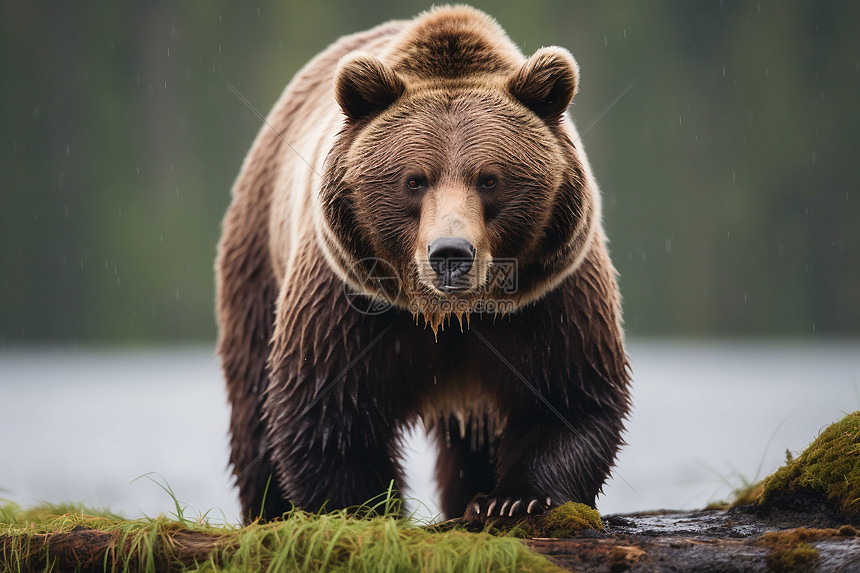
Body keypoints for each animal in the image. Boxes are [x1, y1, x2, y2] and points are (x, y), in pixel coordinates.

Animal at [215, 5, 632, 524]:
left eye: (490, 179)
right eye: (414, 180)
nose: (450, 253)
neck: (450, 316)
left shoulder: (549, 294)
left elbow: (569, 393)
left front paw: (512, 499)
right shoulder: (350, 300)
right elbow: (328, 412)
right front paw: (364, 509)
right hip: (258, 263)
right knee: (252, 402)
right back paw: (266, 510)